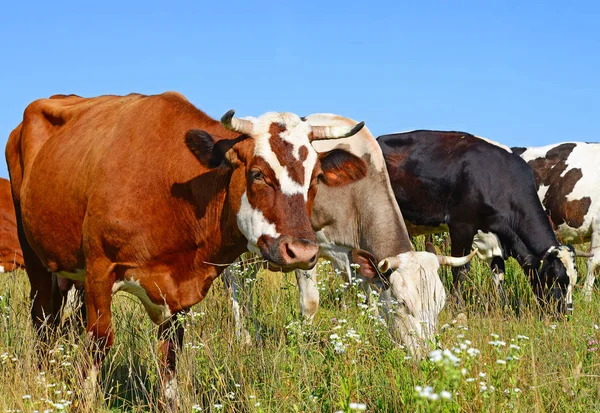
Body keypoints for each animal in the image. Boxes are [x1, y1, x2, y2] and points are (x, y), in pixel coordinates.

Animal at [380, 129, 580, 312]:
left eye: (574, 281)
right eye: (556, 278)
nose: (565, 312)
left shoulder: (498, 235)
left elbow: (499, 275)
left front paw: (503, 310)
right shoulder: (462, 226)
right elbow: (460, 269)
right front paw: (457, 307)